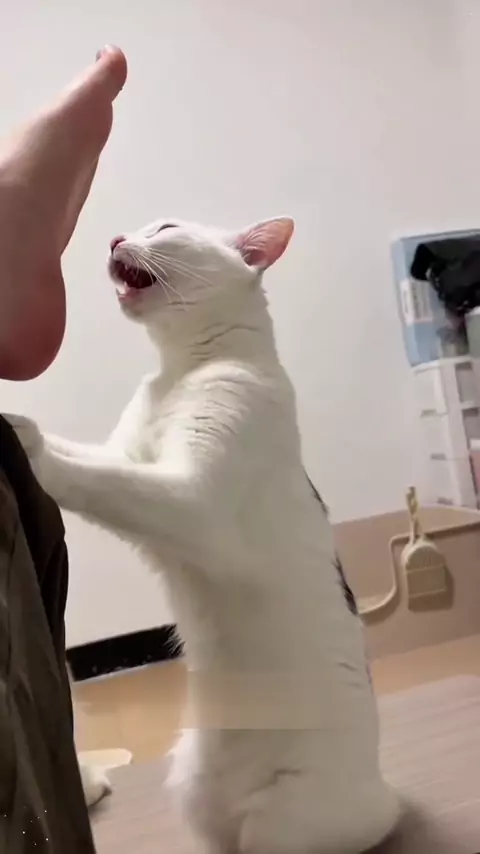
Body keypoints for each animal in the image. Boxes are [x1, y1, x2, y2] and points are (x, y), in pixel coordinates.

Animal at [8, 216, 399, 853]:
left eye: (164, 226)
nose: (116, 237)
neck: (178, 372)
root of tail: (383, 790)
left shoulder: (190, 503)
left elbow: (101, 480)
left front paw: (25, 438)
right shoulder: (127, 454)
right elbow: (93, 463)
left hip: (280, 827)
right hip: (191, 790)